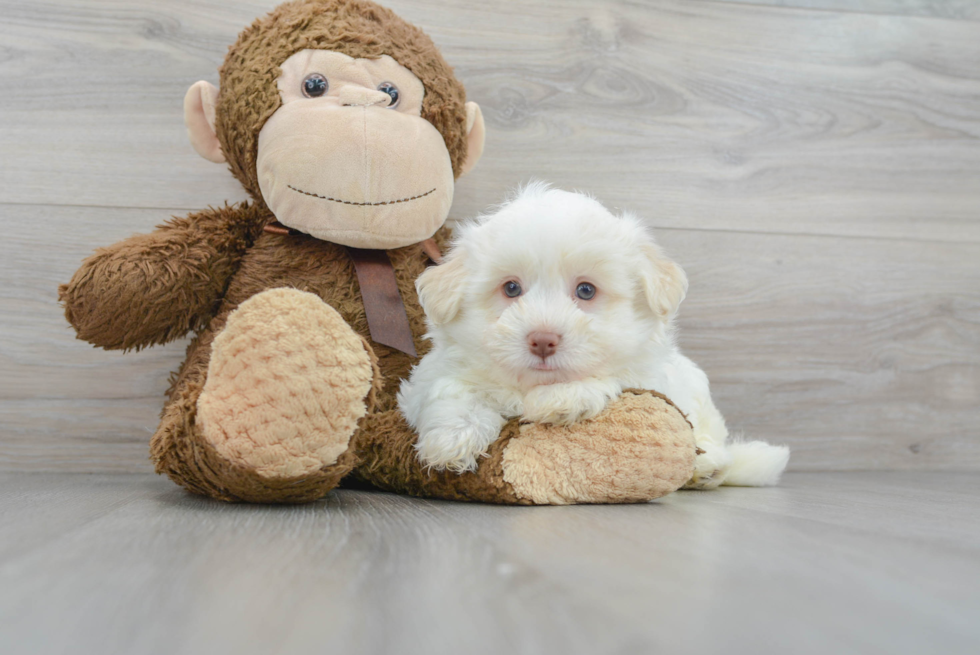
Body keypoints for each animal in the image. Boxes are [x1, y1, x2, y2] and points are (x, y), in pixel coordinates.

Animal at [398, 183, 788, 486]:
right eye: (511, 288)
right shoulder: (432, 377)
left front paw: (561, 399)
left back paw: (706, 466)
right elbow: (452, 391)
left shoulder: (648, 377)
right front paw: (451, 440)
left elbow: (610, 378)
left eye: (586, 291)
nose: (543, 339)